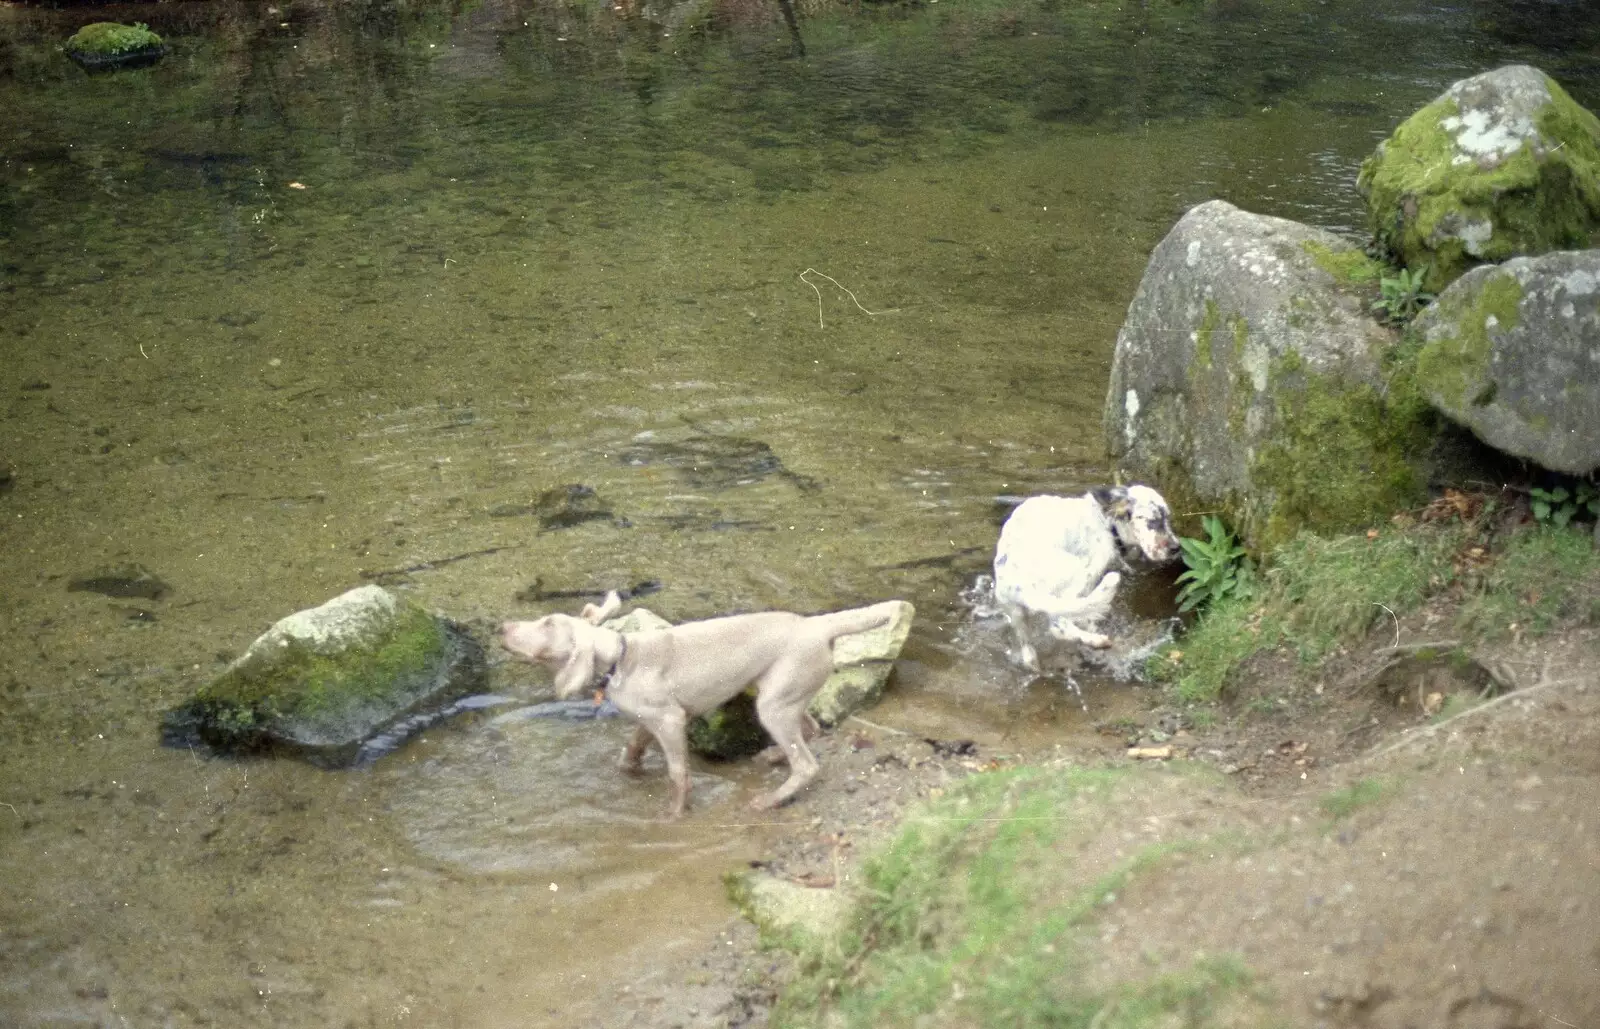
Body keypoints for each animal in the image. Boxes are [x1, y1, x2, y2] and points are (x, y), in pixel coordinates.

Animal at [992, 486, 1184, 672]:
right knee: (1058, 624)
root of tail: (1019, 583)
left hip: (1016, 613)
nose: (1176, 548)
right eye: (1153, 521)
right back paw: (1097, 641)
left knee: (1028, 650)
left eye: (1167, 518)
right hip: (1077, 575)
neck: (1107, 524)